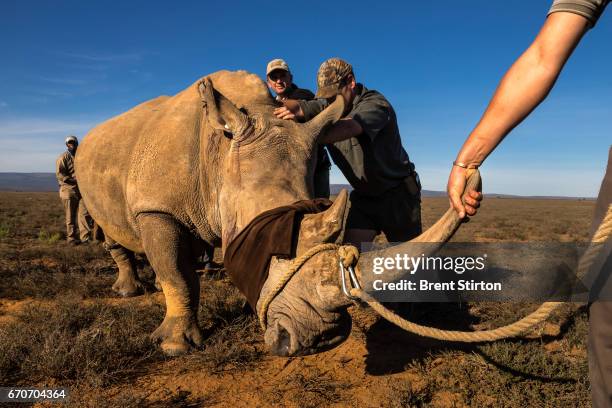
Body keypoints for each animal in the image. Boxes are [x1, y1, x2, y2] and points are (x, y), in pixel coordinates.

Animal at [76, 71, 476, 356]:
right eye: (271, 243)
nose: (322, 339)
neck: (219, 155)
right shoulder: (156, 207)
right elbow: (175, 274)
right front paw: (174, 347)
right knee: (115, 231)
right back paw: (128, 292)